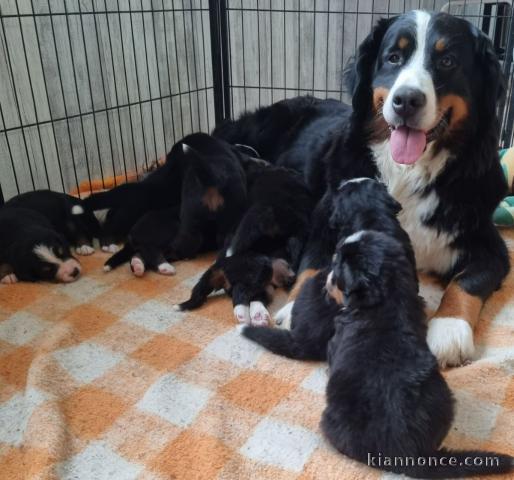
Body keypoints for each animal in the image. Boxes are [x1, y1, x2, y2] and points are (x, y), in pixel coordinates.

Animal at [320, 231, 508, 478]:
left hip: (333, 423)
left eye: (337, 269)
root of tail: (416, 456)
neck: (388, 298)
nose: (328, 277)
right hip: (446, 401)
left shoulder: (335, 340)